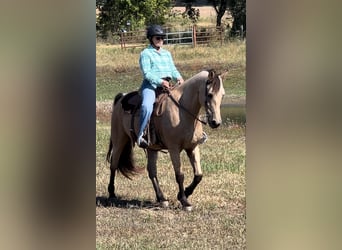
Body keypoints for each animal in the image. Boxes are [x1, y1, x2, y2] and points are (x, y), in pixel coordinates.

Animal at [105, 69, 226, 211]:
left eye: (222, 95)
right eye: (210, 94)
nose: (216, 122)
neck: (182, 112)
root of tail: (121, 97)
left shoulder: (193, 147)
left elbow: (198, 175)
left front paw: (185, 193)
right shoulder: (174, 148)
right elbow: (179, 175)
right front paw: (184, 201)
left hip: (151, 149)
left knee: (152, 172)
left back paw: (161, 198)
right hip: (119, 140)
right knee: (113, 165)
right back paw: (112, 193)